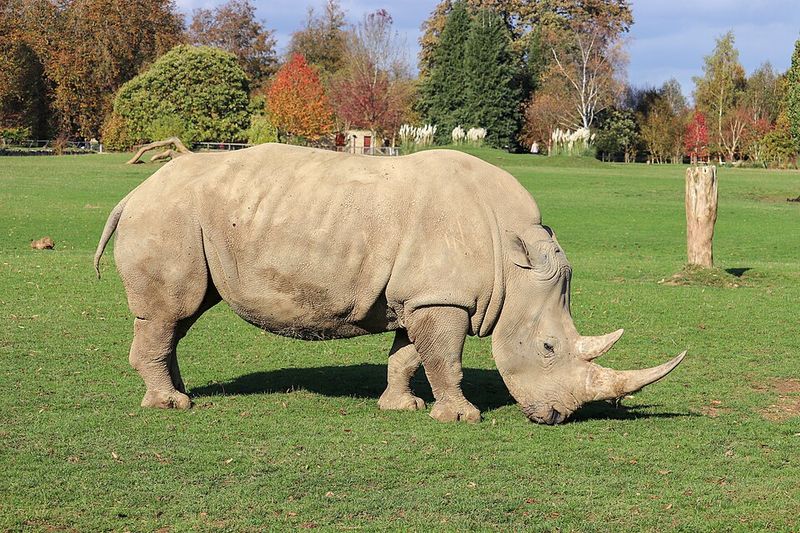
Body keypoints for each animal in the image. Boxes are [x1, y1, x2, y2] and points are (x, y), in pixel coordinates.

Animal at [94, 143, 685, 424]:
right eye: (546, 348)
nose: (557, 417)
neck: (511, 258)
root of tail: (132, 193)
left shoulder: (420, 296)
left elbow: (408, 357)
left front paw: (403, 409)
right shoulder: (441, 298)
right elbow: (445, 360)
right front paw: (462, 418)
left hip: (184, 219)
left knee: (177, 316)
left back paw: (178, 394)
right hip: (167, 215)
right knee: (170, 311)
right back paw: (172, 406)